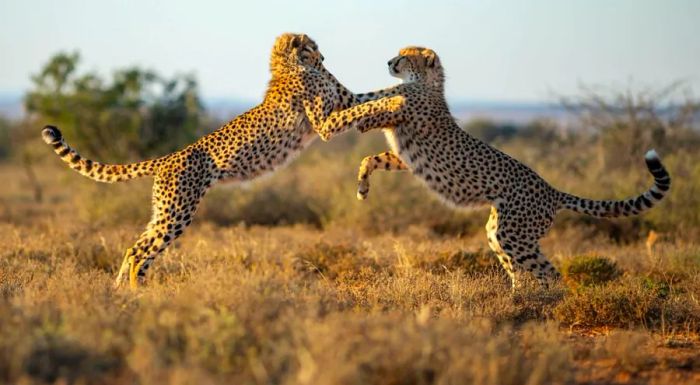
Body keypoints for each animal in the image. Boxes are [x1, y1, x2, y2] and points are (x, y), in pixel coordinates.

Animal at [42, 33, 360, 288]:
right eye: (312, 47)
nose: (323, 56)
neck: (290, 64)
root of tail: (169, 157)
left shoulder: (344, 100)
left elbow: (368, 98)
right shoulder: (325, 124)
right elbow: (363, 107)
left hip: (163, 212)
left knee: (135, 248)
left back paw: (122, 290)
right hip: (177, 212)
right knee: (141, 251)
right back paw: (134, 292)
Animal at [320, 46, 668, 286]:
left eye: (405, 56)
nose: (389, 62)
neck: (427, 83)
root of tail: (552, 189)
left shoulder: (401, 112)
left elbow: (372, 105)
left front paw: (355, 120)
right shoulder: (404, 156)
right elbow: (370, 146)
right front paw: (362, 185)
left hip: (514, 234)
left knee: (548, 272)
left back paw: (548, 303)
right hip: (498, 233)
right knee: (522, 269)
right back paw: (521, 298)